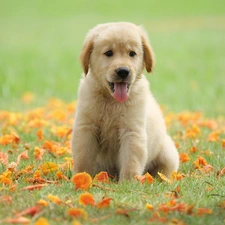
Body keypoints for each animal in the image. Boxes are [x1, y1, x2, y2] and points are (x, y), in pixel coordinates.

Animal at [72, 22, 179, 180]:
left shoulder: (132, 131)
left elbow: (131, 160)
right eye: (109, 53)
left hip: (168, 153)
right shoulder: (86, 127)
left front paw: (128, 182)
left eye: (132, 53)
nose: (123, 71)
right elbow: (83, 156)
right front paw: (81, 176)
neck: (111, 100)